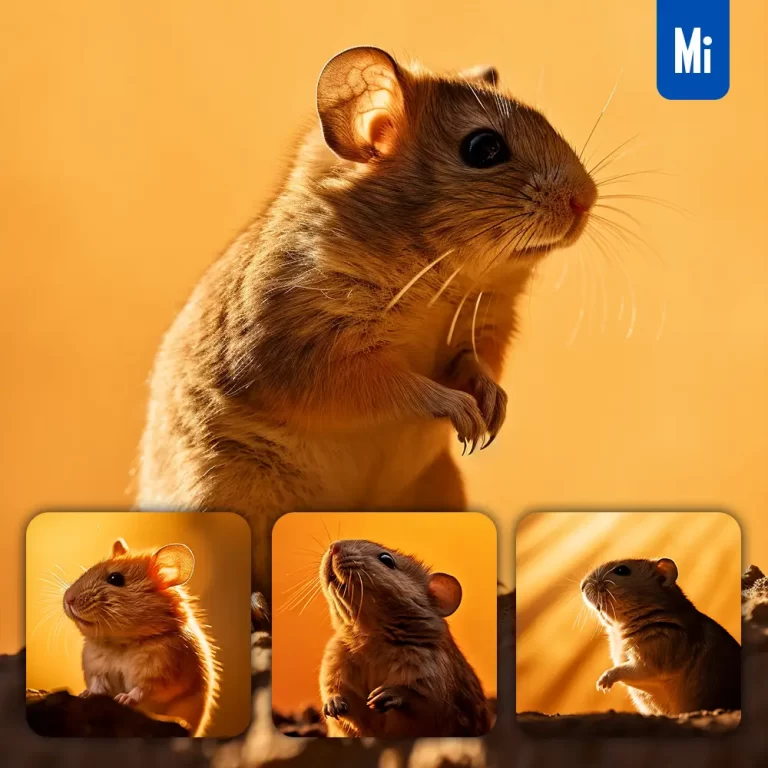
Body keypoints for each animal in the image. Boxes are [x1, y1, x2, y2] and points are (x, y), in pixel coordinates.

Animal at [63, 539, 218, 736]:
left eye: (115, 579)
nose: (67, 599)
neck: (122, 642)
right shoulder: (96, 669)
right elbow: (97, 686)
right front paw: (86, 694)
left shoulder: (160, 675)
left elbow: (141, 690)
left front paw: (123, 698)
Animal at [138, 47, 597, 597]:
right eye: (484, 148)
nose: (587, 199)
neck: (442, 275)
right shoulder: (317, 356)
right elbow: (399, 387)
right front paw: (464, 414)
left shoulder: (482, 331)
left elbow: (476, 367)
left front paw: (492, 410)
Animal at [317, 539, 490, 738]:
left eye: (386, 559)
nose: (334, 547)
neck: (369, 639)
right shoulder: (334, 667)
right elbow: (337, 694)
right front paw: (333, 706)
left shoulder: (432, 685)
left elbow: (413, 697)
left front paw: (384, 695)